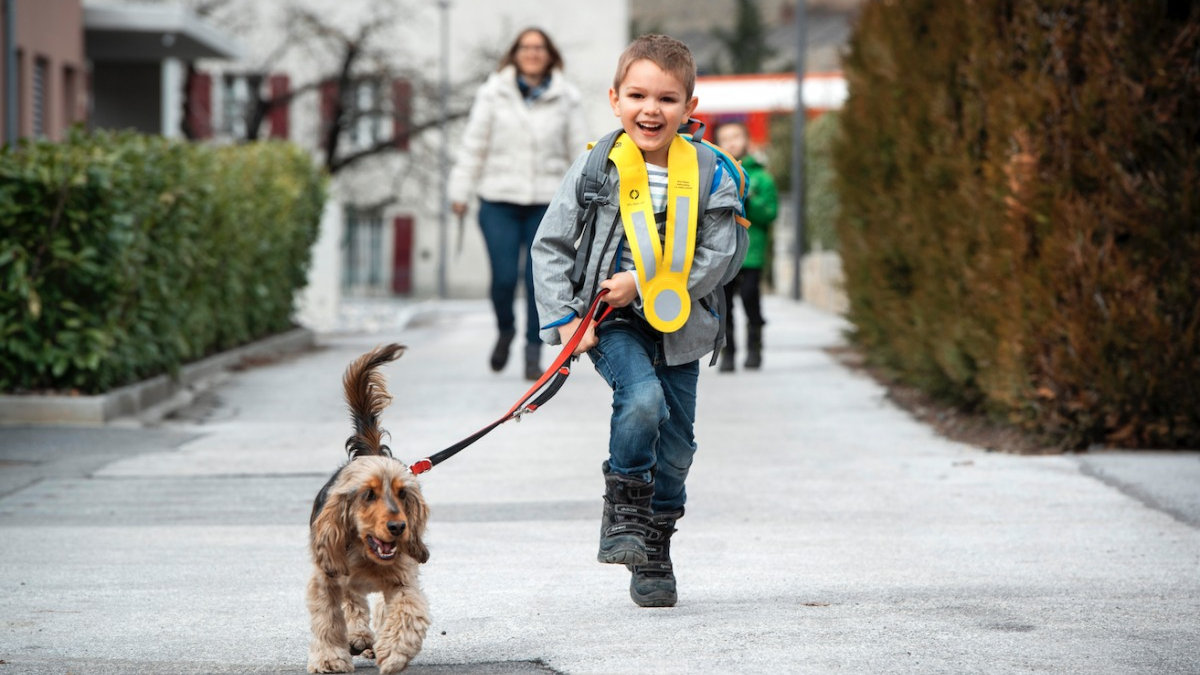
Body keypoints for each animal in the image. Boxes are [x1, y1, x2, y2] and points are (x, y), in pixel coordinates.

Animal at [304, 343, 432, 667]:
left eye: (402, 493)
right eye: (369, 495)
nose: (398, 527)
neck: (365, 554)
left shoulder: (403, 580)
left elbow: (407, 611)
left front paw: (394, 651)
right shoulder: (327, 576)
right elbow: (328, 619)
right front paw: (329, 659)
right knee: (353, 603)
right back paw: (359, 637)